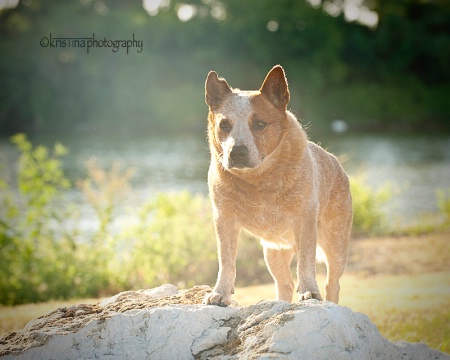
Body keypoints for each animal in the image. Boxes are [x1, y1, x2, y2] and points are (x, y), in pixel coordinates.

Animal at [202, 65, 354, 306]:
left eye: (259, 124)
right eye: (224, 125)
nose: (237, 152)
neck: (258, 181)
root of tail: (336, 161)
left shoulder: (305, 219)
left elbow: (306, 261)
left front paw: (310, 291)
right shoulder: (223, 218)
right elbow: (226, 261)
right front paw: (220, 293)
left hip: (336, 243)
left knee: (333, 283)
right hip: (273, 251)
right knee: (284, 284)